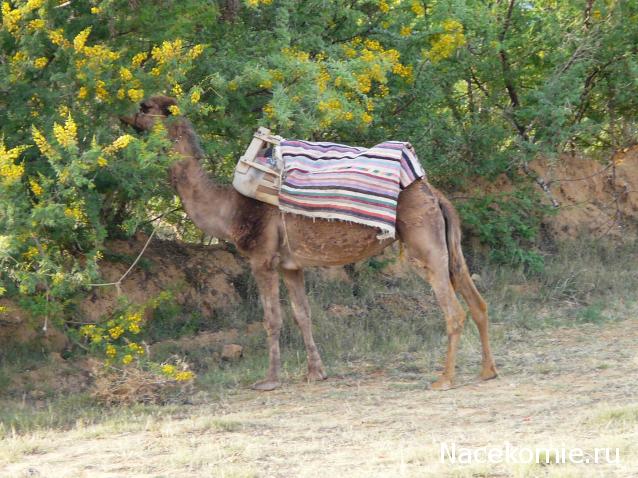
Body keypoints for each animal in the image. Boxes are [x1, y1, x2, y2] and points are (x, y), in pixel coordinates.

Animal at [121, 95, 500, 390]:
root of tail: (433, 193)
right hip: (447, 243)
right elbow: (303, 314)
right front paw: (316, 373)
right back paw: (487, 372)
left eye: (145, 107)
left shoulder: (262, 258)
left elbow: (272, 318)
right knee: (477, 301)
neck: (229, 209)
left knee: (453, 310)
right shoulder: (292, 265)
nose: (123, 116)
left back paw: (444, 379)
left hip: (423, 242)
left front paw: (269, 380)